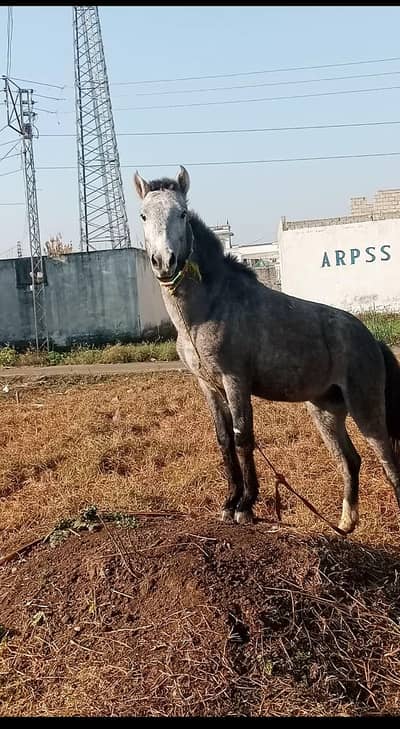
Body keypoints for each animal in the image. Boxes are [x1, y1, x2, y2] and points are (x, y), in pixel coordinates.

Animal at [134, 165, 400, 533]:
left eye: (182, 214)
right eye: (144, 215)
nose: (164, 261)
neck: (209, 309)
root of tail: (371, 339)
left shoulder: (236, 381)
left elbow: (243, 437)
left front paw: (245, 506)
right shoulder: (208, 386)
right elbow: (224, 440)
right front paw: (229, 503)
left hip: (366, 410)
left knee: (390, 464)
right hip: (325, 411)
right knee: (350, 460)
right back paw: (345, 524)